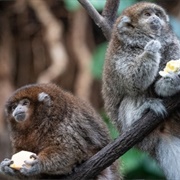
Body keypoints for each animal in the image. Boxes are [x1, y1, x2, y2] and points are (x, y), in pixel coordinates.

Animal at [102, 1, 180, 180]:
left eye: (157, 14)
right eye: (147, 15)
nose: (155, 19)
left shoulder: (172, 45)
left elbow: (159, 86)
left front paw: (172, 82)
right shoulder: (120, 57)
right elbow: (133, 82)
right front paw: (151, 50)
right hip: (130, 130)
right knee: (132, 95)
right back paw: (141, 113)